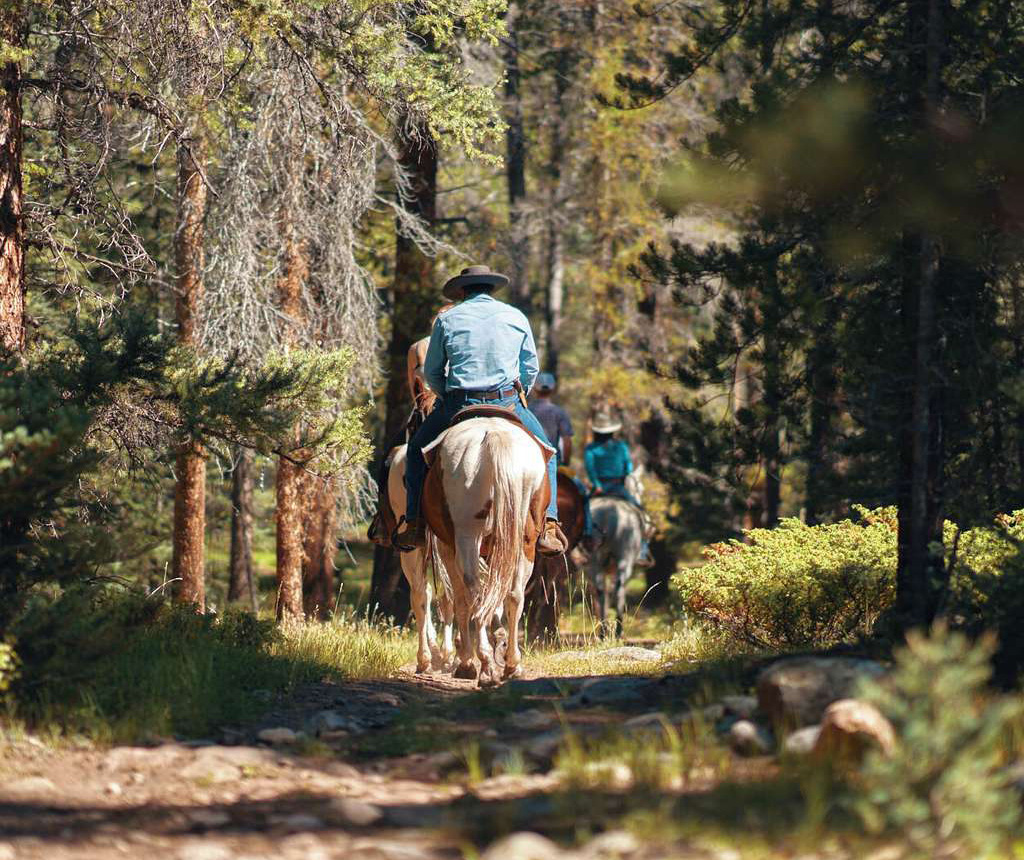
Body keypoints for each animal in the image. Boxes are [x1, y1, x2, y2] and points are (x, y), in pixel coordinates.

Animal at [421, 415, 551, 687]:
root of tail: (493, 435)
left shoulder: (447, 547)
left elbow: (459, 599)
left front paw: (465, 660)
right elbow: (497, 596)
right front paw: (497, 640)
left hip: (467, 536)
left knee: (474, 593)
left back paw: (484, 664)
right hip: (524, 539)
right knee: (513, 594)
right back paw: (511, 664)